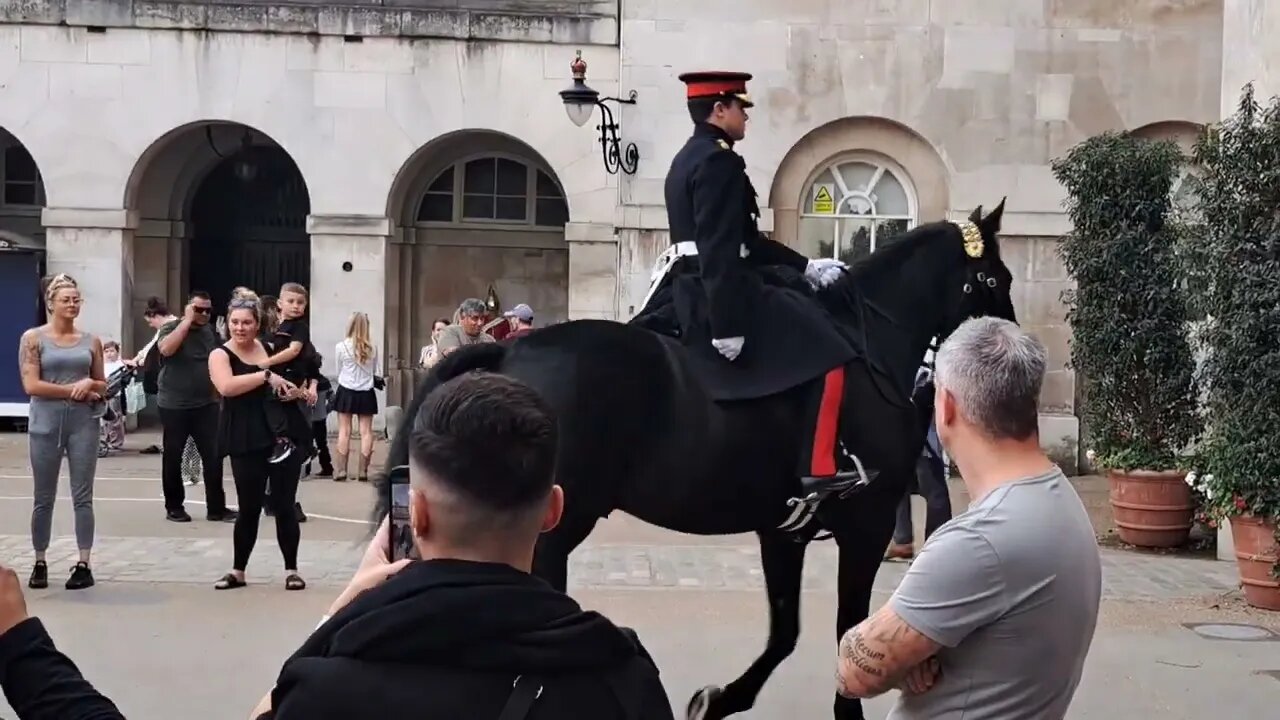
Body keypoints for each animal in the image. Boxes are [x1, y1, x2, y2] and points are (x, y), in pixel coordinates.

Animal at [378, 198, 1018, 712]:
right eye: (994, 277)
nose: (1014, 348)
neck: (873, 346)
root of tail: (509, 354)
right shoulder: (868, 520)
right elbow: (843, 632)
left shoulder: (783, 530)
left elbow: (786, 631)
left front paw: (721, 699)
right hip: (553, 525)